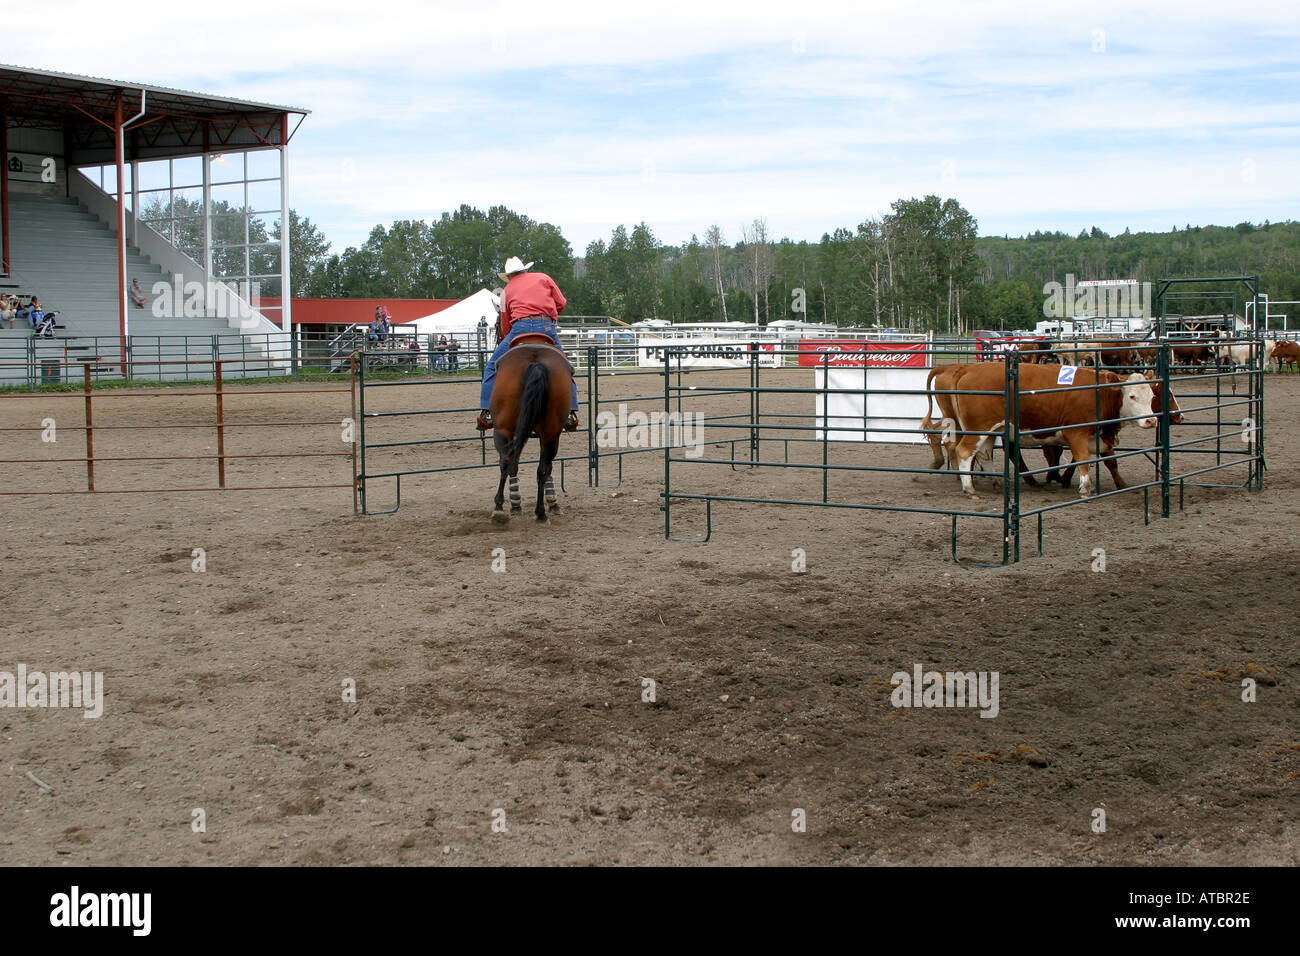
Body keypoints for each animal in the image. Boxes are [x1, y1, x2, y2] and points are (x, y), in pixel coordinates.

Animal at [488, 335, 572, 522]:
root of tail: (536, 364)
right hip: (550, 432)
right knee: (540, 468)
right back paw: (538, 512)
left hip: (503, 428)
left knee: (507, 461)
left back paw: (502, 508)